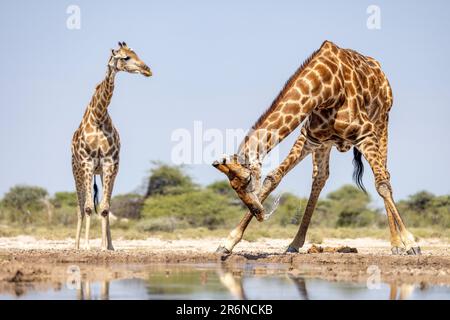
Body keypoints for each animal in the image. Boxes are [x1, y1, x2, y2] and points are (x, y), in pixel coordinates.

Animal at [71, 42, 152, 250]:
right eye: (125, 57)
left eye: (135, 53)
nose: (147, 69)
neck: (99, 115)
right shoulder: (87, 162)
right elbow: (88, 207)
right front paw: (87, 246)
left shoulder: (109, 163)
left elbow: (105, 208)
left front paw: (104, 247)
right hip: (77, 171)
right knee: (80, 206)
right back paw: (76, 246)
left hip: (106, 171)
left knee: (104, 204)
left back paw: (109, 245)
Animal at [213, 40, 420, 255]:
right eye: (233, 187)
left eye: (246, 181)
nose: (259, 212)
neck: (326, 89)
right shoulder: (309, 137)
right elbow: (274, 177)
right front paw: (227, 242)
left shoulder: (365, 133)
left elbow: (382, 184)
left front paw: (411, 243)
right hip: (325, 144)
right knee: (320, 178)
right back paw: (295, 243)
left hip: (381, 124)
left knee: (384, 174)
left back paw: (396, 245)